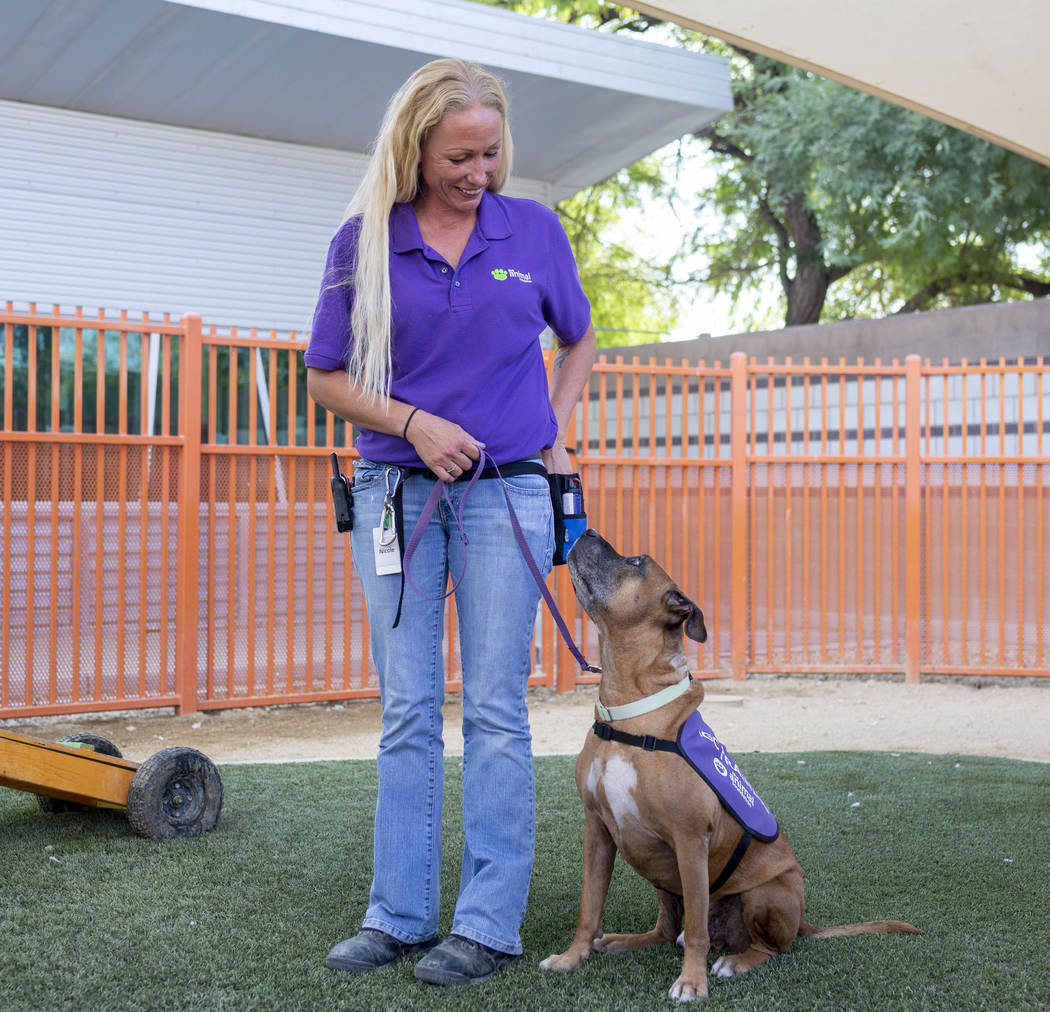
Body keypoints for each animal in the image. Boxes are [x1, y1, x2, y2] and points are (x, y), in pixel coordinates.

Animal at [541, 529, 919, 1003]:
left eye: (636, 561)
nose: (588, 531)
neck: (630, 712)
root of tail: (803, 920)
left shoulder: (689, 840)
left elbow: (697, 932)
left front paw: (691, 981)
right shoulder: (597, 831)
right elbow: (589, 907)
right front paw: (573, 957)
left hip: (765, 893)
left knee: (765, 946)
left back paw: (737, 961)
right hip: (662, 876)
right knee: (667, 929)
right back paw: (628, 941)